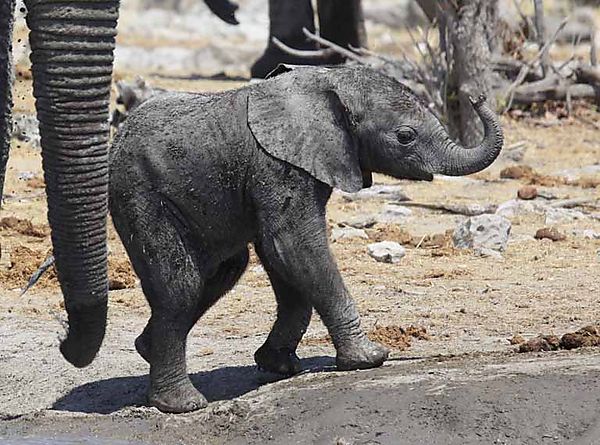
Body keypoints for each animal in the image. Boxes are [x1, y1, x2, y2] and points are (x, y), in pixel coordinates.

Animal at [110, 64, 504, 412]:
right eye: (405, 136)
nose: (477, 97)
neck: (326, 82)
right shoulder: (278, 166)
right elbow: (294, 245)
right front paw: (370, 358)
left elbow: (283, 260)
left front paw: (279, 366)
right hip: (140, 194)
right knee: (181, 286)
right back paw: (181, 405)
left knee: (224, 271)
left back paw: (146, 348)